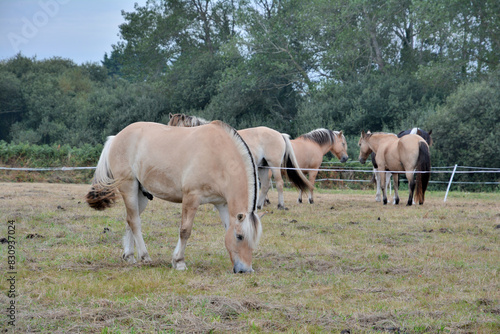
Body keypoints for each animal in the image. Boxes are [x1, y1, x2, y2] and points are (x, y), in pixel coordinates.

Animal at [86, 121, 264, 272]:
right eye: (239, 236)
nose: (245, 270)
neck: (218, 156)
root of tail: (116, 137)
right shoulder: (191, 198)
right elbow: (185, 230)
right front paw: (179, 262)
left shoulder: (222, 204)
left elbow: (226, 228)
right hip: (128, 188)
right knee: (135, 222)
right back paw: (145, 256)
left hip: (140, 195)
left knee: (130, 219)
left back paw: (129, 256)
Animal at [166, 113, 310, 210]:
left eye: (177, 128)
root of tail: (280, 134)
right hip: (263, 167)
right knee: (265, 186)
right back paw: (258, 206)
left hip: (273, 165)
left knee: (279, 184)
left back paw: (280, 205)